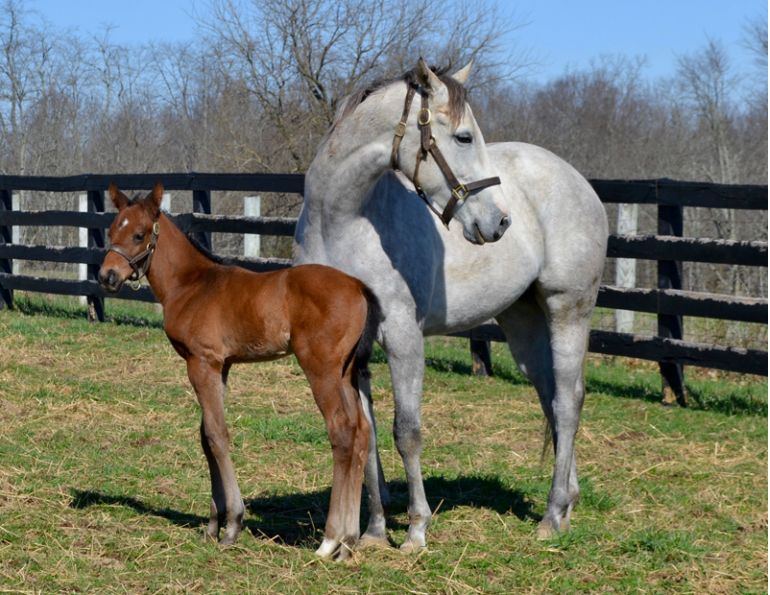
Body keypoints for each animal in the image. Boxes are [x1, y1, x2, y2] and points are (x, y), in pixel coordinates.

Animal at [99, 182, 380, 561]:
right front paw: (212, 525)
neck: (192, 284)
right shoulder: (221, 366)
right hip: (346, 372)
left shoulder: (202, 363)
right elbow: (205, 437)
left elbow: (217, 436)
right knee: (362, 431)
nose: (107, 277)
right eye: (112, 230)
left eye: (139, 234)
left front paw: (232, 525)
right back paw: (348, 543)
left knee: (342, 431)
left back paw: (330, 541)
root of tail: (357, 285)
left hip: (321, 370)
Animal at [294, 59, 608, 552]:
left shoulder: (403, 337)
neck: (340, 222)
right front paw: (375, 532)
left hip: (568, 311)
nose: (499, 222)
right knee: (551, 395)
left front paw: (416, 531)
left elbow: (407, 432)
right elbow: (368, 433)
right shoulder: (352, 350)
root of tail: (577, 181)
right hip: (523, 321)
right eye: (462, 137)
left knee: (568, 401)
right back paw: (567, 504)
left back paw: (552, 514)